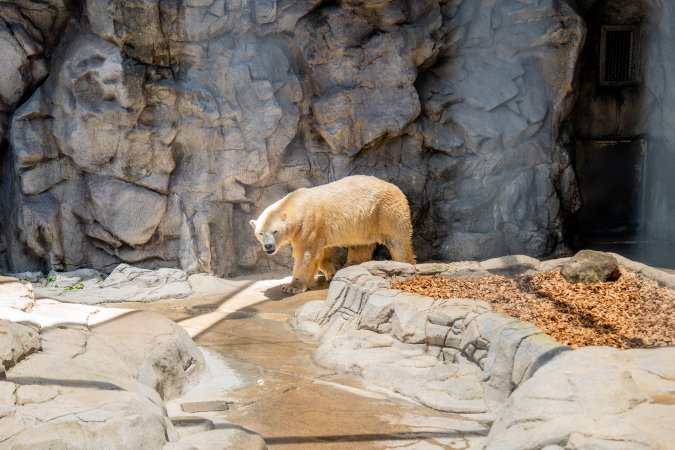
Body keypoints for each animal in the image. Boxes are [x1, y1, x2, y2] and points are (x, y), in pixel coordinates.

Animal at [250, 175, 415, 294]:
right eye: (260, 233)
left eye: (275, 231)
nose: (268, 246)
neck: (296, 204)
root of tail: (396, 188)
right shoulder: (321, 229)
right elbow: (323, 252)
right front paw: (331, 272)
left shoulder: (309, 224)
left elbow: (306, 254)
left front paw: (291, 286)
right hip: (365, 222)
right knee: (361, 245)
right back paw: (350, 265)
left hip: (386, 211)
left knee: (398, 241)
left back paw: (404, 263)